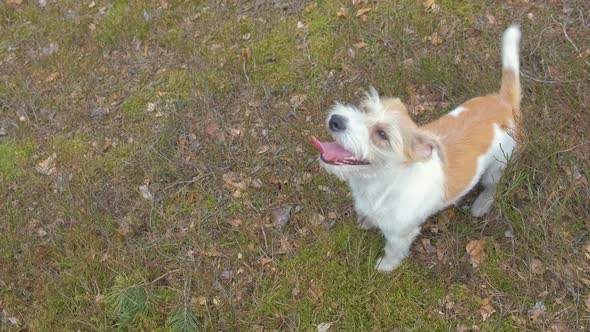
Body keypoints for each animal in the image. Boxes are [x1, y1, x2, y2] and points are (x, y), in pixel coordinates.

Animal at [310, 25, 524, 270]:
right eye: (365, 109)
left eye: (382, 134)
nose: (335, 120)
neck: (379, 184)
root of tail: (504, 102)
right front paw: (367, 221)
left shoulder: (399, 235)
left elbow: (393, 252)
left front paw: (384, 267)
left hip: (497, 167)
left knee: (492, 187)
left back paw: (482, 203)